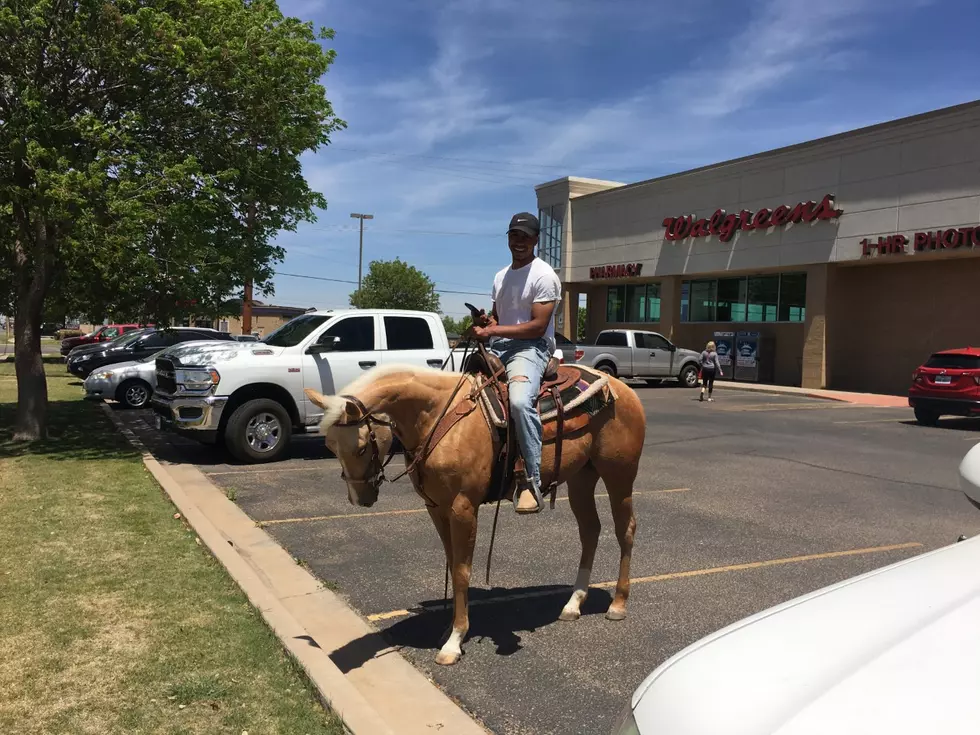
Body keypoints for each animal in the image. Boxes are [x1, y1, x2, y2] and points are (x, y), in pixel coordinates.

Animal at [304, 364, 644, 668]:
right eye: (329, 446)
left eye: (361, 447)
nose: (359, 499)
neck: (438, 417)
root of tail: (623, 389)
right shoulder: (436, 508)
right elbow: (451, 562)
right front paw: (448, 630)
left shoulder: (463, 508)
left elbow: (461, 570)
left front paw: (454, 641)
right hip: (582, 478)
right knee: (590, 530)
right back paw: (573, 604)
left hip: (618, 475)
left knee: (625, 529)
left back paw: (618, 603)